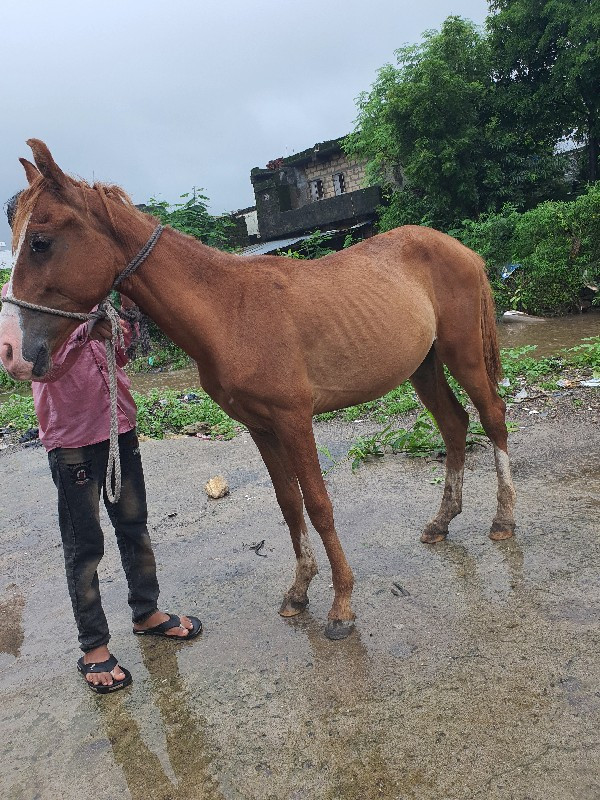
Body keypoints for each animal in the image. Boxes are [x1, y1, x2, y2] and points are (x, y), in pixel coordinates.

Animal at [0, 141, 516, 640]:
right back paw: (441, 522)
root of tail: (460, 249)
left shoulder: (295, 420)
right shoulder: (261, 427)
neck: (230, 311)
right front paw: (299, 592)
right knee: (454, 425)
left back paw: (504, 521)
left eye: (41, 242)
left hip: (464, 355)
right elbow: (289, 506)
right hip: (423, 367)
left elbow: (319, 506)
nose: (13, 353)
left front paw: (341, 605)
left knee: (492, 417)